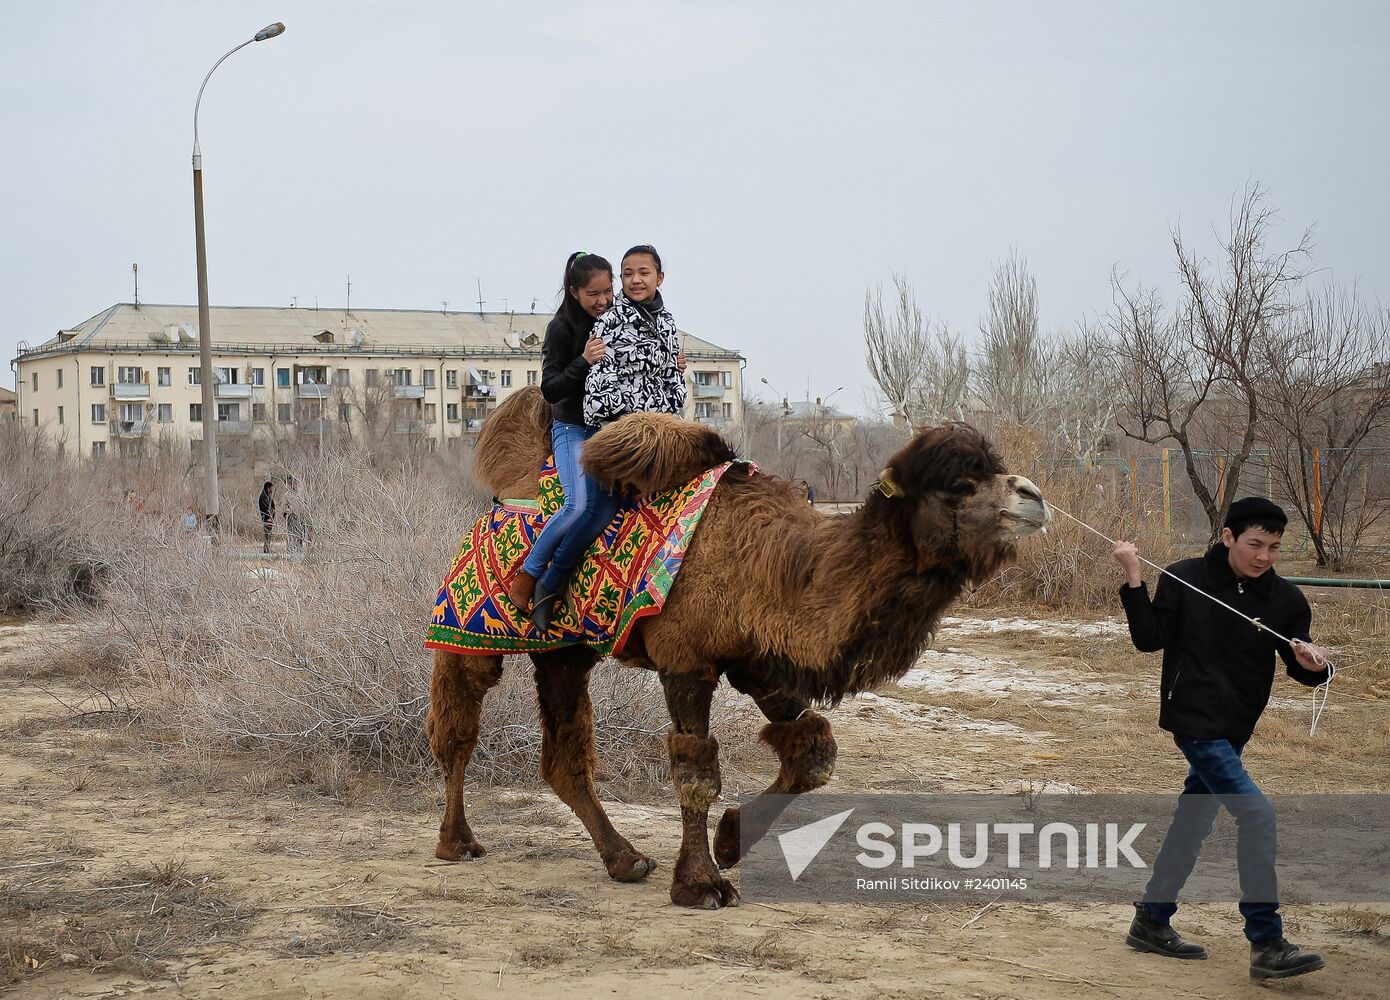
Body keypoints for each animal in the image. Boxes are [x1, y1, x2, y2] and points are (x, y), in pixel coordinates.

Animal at [422, 386, 1045, 912]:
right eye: (958, 486)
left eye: (992, 469)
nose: (1033, 496)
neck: (773, 563)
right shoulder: (686, 659)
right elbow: (695, 769)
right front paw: (701, 884)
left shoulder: (759, 662)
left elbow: (812, 753)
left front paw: (728, 842)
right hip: (466, 626)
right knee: (457, 726)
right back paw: (457, 842)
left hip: (564, 651)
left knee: (563, 756)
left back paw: (625, 860)